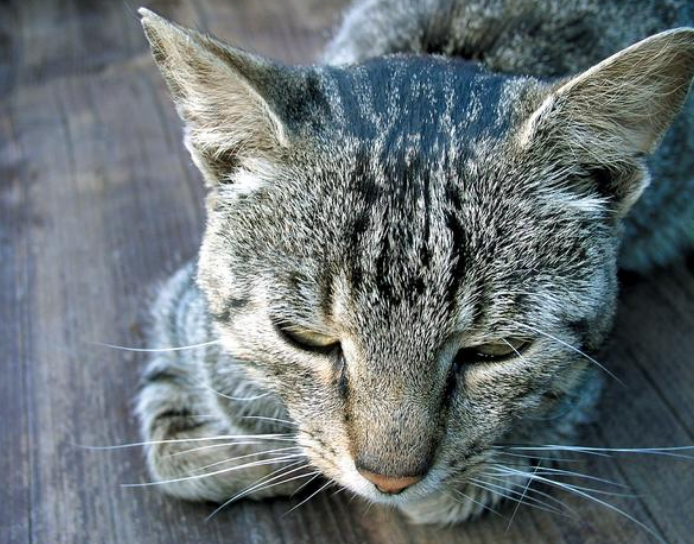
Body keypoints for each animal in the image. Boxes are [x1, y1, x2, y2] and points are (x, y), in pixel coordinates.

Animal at [135, 1, 694, 528]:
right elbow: (172, 439)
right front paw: (250, 454)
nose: (389, 480)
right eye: (305, 338)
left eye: (497, 350)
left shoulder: (581, 382)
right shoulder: (183, 311)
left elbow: (538, 427)